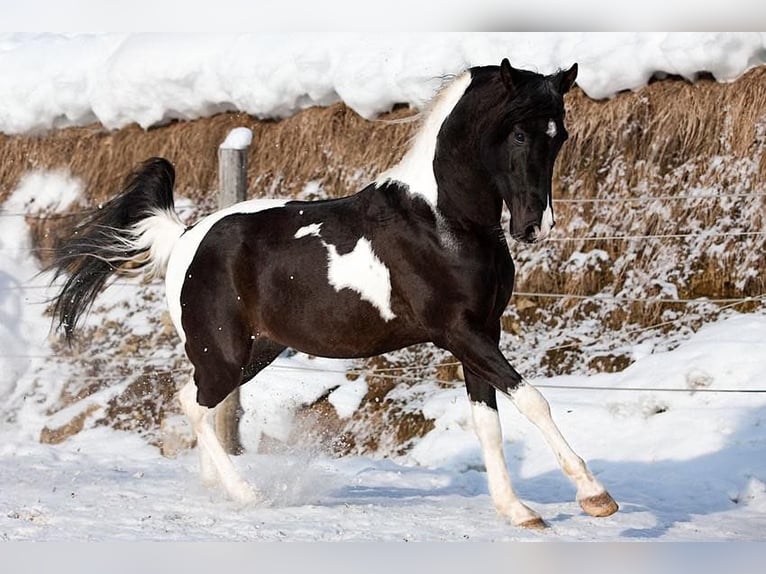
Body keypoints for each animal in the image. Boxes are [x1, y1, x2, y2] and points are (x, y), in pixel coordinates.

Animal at [49, 58, 616, 532]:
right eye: (518, 133)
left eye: (560, 135)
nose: (534, 226)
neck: (444, 222)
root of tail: (185, 235)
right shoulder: (459, 332)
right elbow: (534, 400)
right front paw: (596, 496)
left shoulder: (482, 332)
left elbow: (489, 423)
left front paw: (518, 511)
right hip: (221, 352)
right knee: (193, 403)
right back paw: (247, 494)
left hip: (257, 349)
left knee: (199, 406)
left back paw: (220, 486)